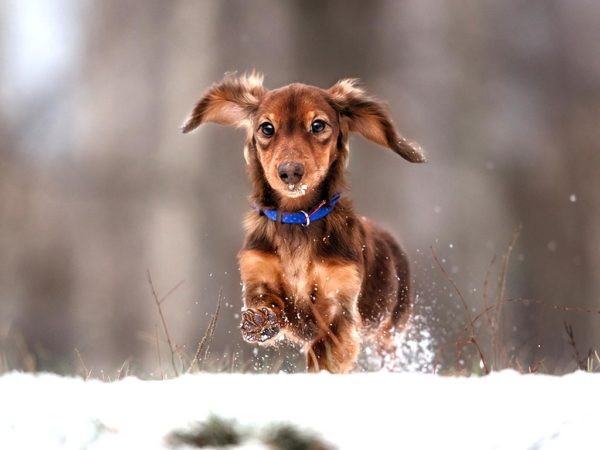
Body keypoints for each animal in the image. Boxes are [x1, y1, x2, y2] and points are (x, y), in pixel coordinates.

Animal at [180, 72, 424, 370]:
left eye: (317, 125)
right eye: (267, 128)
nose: (290, 172)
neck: (297, 222)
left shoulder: (338, 303)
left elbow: (325, 351)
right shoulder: (257, 274)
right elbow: (267, 302)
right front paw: (261, 320)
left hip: (390, 329)